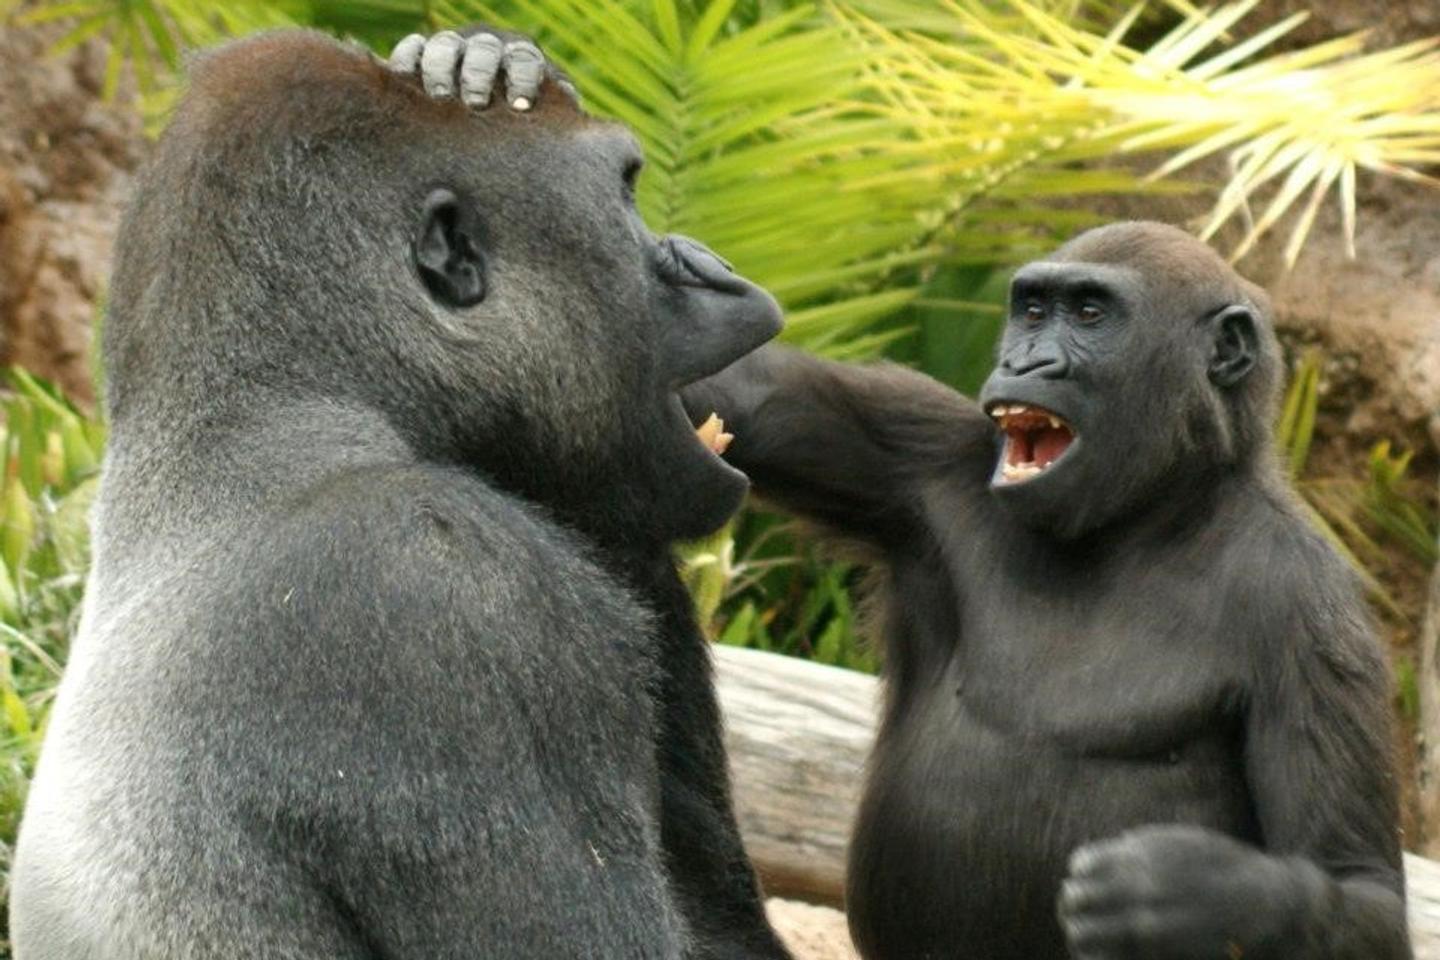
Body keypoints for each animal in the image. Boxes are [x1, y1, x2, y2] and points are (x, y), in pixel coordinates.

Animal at [681, 222, 1411, 959]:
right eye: (1033, 311)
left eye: (1089, 313)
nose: (1026, 362)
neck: (1147, 514)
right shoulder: (923, 451)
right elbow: (741, 397)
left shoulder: (1314, 614)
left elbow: (1358, 881)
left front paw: (1194, 896)